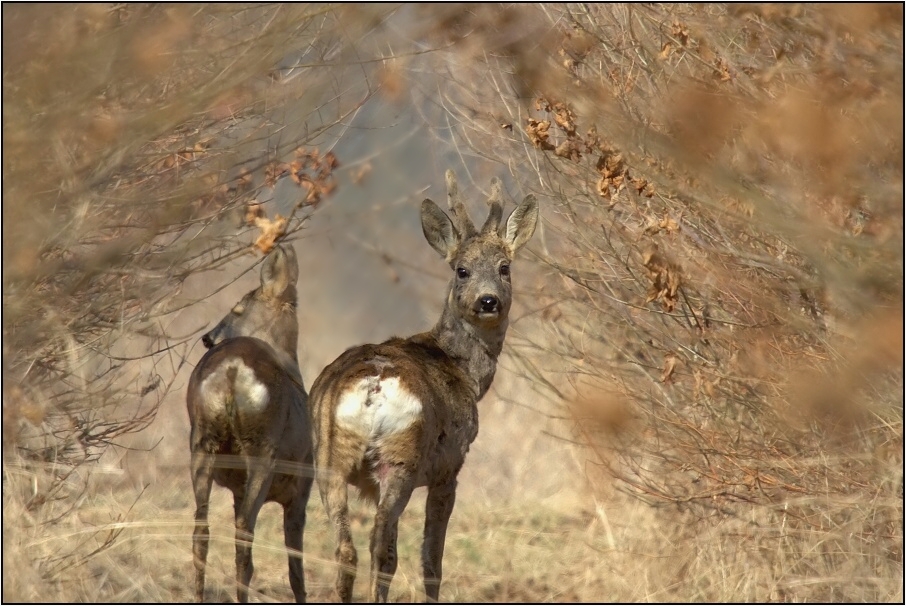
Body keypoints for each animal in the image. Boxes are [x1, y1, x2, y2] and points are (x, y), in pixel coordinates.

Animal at [185, 246, 312, 604]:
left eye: (237, 308)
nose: (207, 338)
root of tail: (232, 369)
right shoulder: (302, 488)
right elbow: (295, 566)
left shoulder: (236, 489)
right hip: (262, 449)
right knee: (244, 533)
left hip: (201, 441)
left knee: (201, 528)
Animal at [310, 171, 536, 604]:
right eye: (462, 270)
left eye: (505, 268)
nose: (488, 301)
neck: (465, 372)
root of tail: (374, 385)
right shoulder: (450, 466)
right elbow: (432, 559)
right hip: (401, 457)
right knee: (380, 546)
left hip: (329, 456)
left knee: (346, 549)